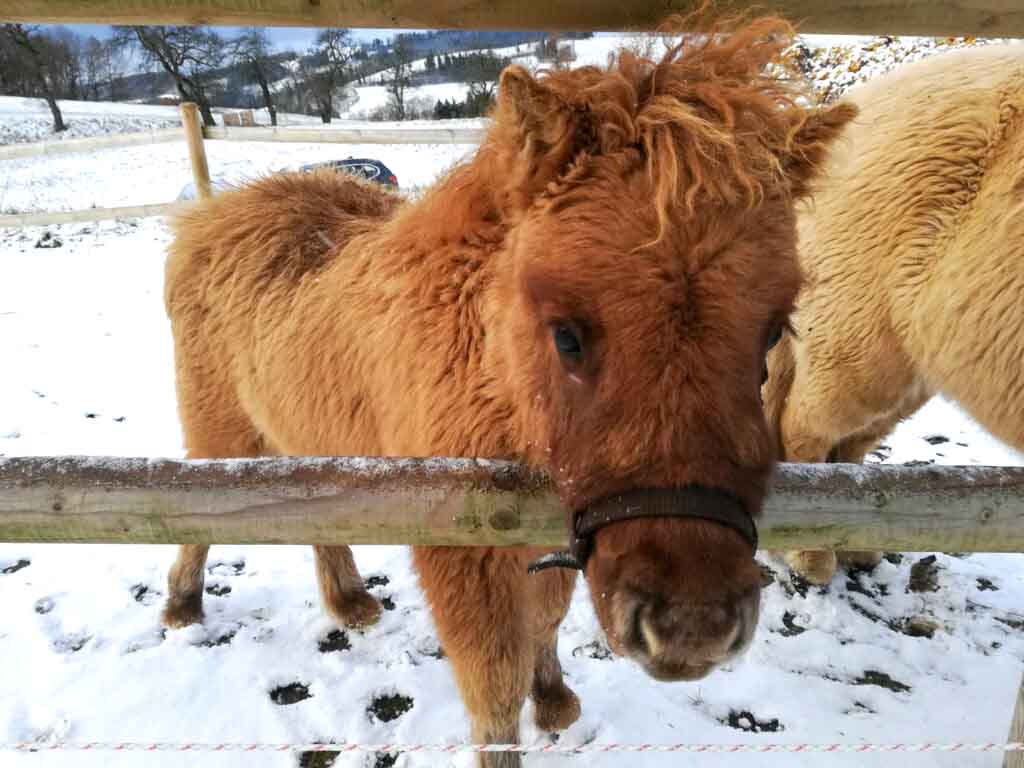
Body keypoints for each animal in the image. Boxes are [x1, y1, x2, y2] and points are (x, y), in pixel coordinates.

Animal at [161, 12, 854, 765]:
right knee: (193, 519)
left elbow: (545, 621)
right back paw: (183, 606)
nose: (691, 626)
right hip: (222, 437)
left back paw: (348, 601)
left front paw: (552, 697)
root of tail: (219, 212)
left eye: (771, 333)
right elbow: (492, 684)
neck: (495, 380)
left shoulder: (557, 526)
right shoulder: (464, 559)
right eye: (567, 334)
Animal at [763, 43, 1024, 585]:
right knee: (806, 428)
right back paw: (811, 554)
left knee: (857, 445)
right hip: (855, 343)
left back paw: (858, 544)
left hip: (914, 367)